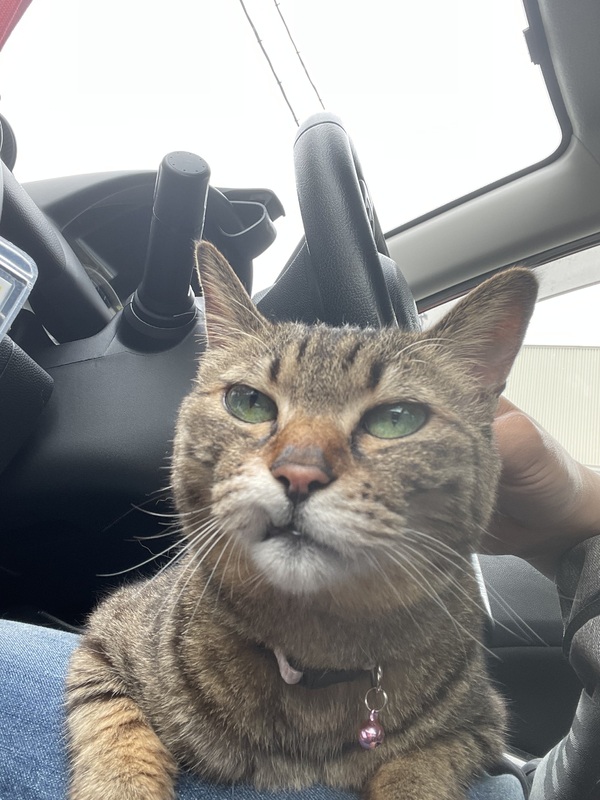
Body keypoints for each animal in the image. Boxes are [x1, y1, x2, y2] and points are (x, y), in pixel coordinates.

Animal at [66, 241, 537, 800]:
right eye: (248, 403)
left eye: (396, 419)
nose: (299, 473)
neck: (313, 655)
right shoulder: (103, 643)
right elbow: (118, 736)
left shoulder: (478, 727)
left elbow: (418, 769)